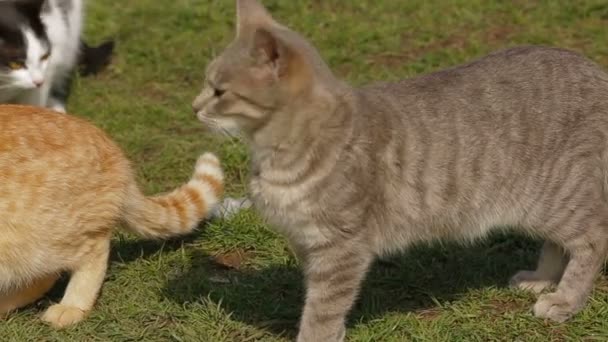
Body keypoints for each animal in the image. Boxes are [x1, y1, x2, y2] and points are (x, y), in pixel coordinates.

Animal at [192, 1, 608, 340]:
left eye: (219, 91)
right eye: (207, 84)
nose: (194, 107)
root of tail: (594, 70)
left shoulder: (341, 247)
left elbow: (322, 310)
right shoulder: (309, 244)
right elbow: (321, 302)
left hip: (555, 197)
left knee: (592, 239)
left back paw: (565, 299)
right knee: (558, 242)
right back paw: (542, 279)